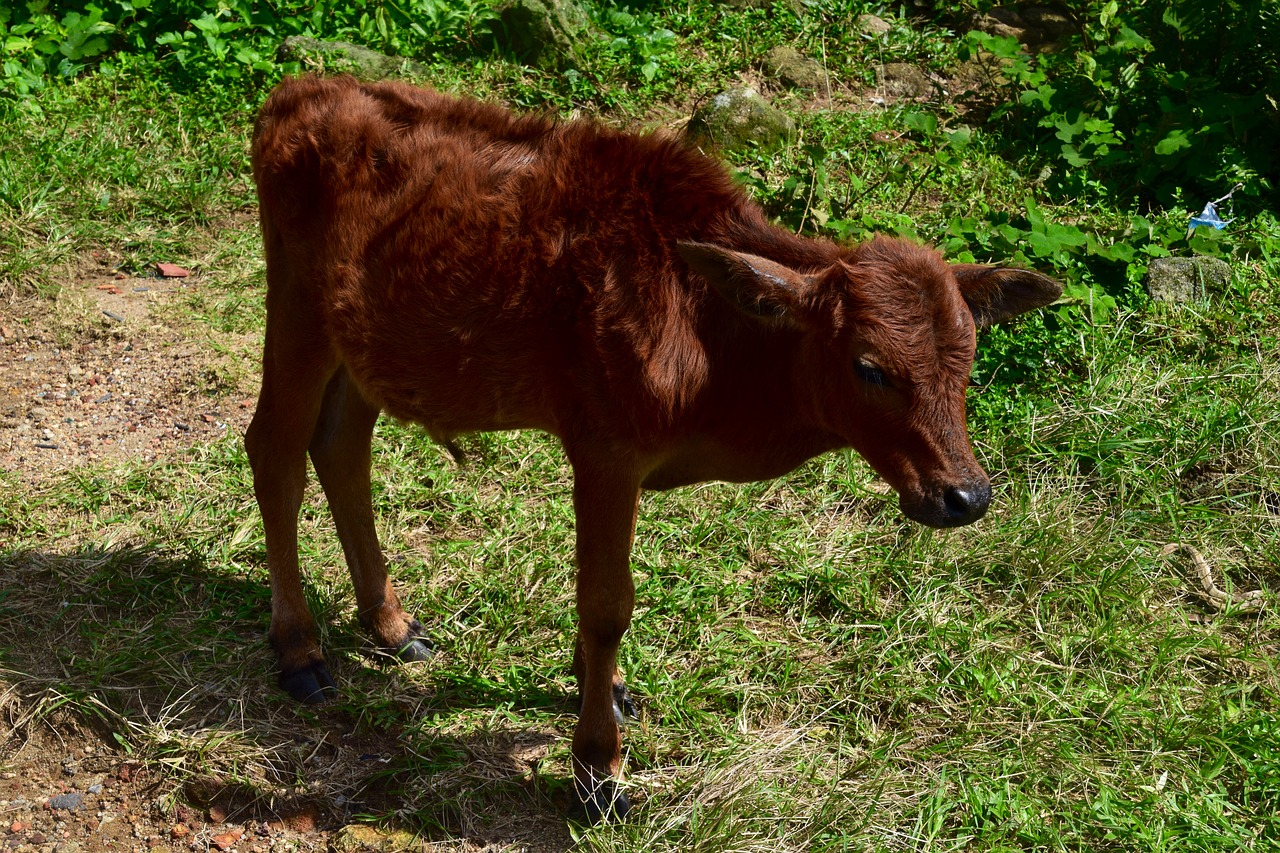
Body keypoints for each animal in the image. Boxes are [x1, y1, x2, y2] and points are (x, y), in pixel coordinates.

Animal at [247, 76, 1059, 819]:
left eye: (969, 356)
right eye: (870, 366)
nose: (964, 495)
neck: (715, 344)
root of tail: (298, 90)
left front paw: (602, 690)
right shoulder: (604, 447)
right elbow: (607, 602)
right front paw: (596, 771)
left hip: (364, 346)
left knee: (341, 446)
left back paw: (390, 625)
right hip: (297, 304)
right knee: (274, 447)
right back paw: (300, 649)